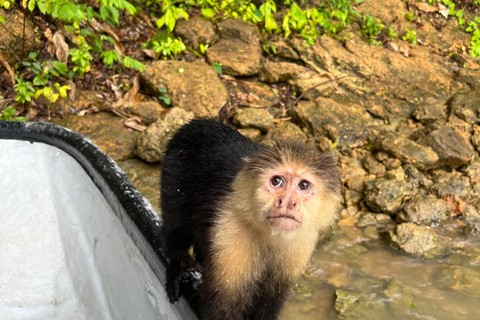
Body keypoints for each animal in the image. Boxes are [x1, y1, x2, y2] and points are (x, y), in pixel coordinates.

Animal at [160, 119, 342, 320]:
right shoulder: (229, 234)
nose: (287, 202)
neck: (270, 235)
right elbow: (222, 307)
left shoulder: (302, 245)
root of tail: (195, 123)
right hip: (174, 170)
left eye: (303, 185)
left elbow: (269, 302)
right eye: (276, 181)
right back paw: (179, 262)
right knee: (176, 223)